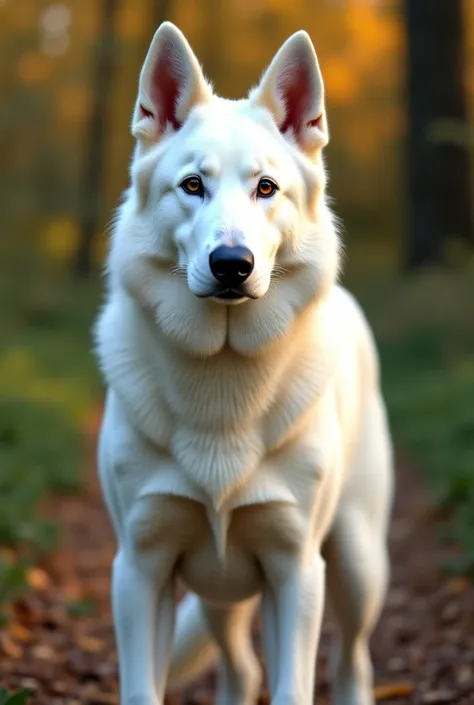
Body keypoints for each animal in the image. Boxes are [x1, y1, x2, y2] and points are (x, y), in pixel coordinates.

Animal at [94, 22, 394, 704]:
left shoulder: (295, 569)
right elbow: (143, 688)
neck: (223, 375)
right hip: (218, 596)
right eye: (192, 186)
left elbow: (294, 687)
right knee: (242, 668)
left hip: (355, 564)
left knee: (352, 661)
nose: (232, 265)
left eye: (265, 188)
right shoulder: (139, 568)